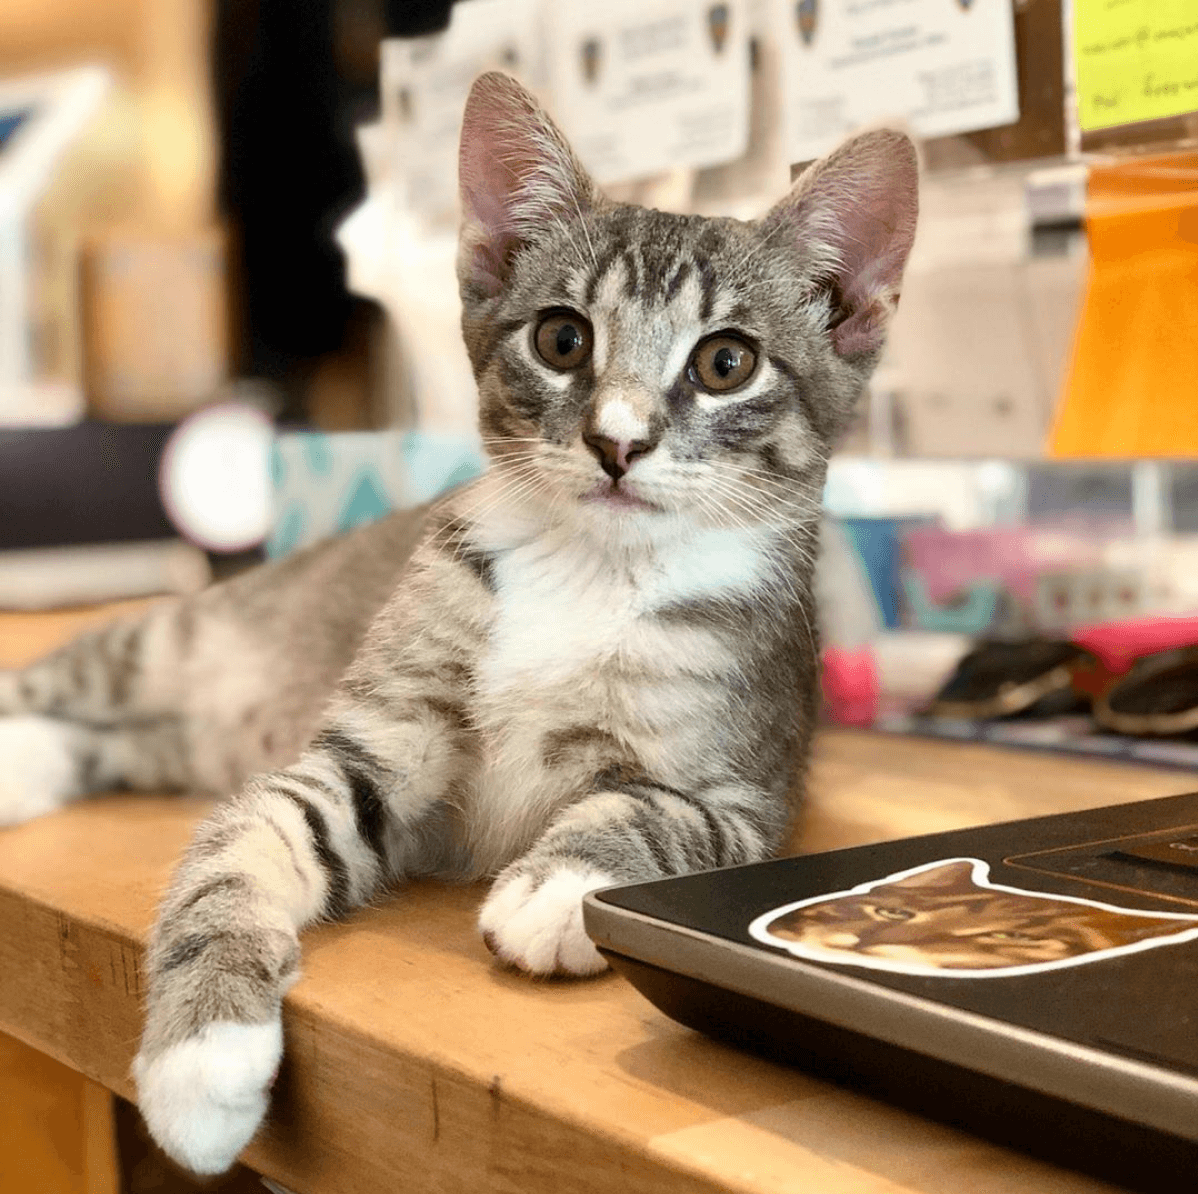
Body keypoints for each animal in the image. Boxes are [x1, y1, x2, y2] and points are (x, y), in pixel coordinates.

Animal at [0, 69, 915, 1168]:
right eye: (562, 338)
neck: (591, 569)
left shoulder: (749, 790)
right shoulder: (367, 745)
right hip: (167, 643)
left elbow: (655, 811)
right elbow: (243, 848)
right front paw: (202, 1050)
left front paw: (558, 883)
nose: (617, 442)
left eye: (726, 363)